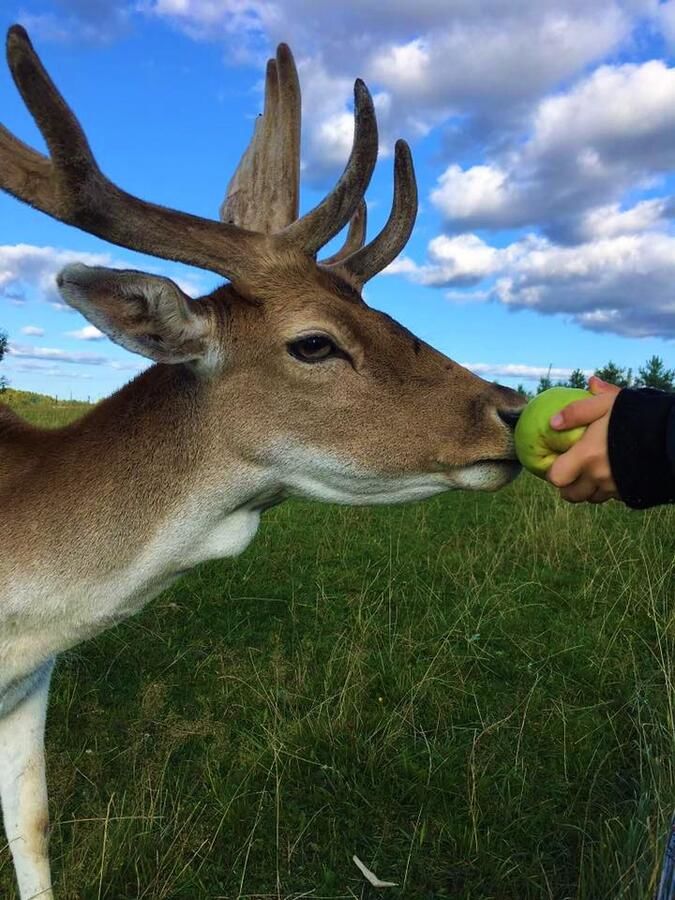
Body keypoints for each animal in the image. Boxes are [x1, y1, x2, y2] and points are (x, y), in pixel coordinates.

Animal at [0, 24, 528, 900]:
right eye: (313, 342)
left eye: (384, 313)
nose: (510, 410)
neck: (19, 622)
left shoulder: (31, 686)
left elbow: (34, 830)